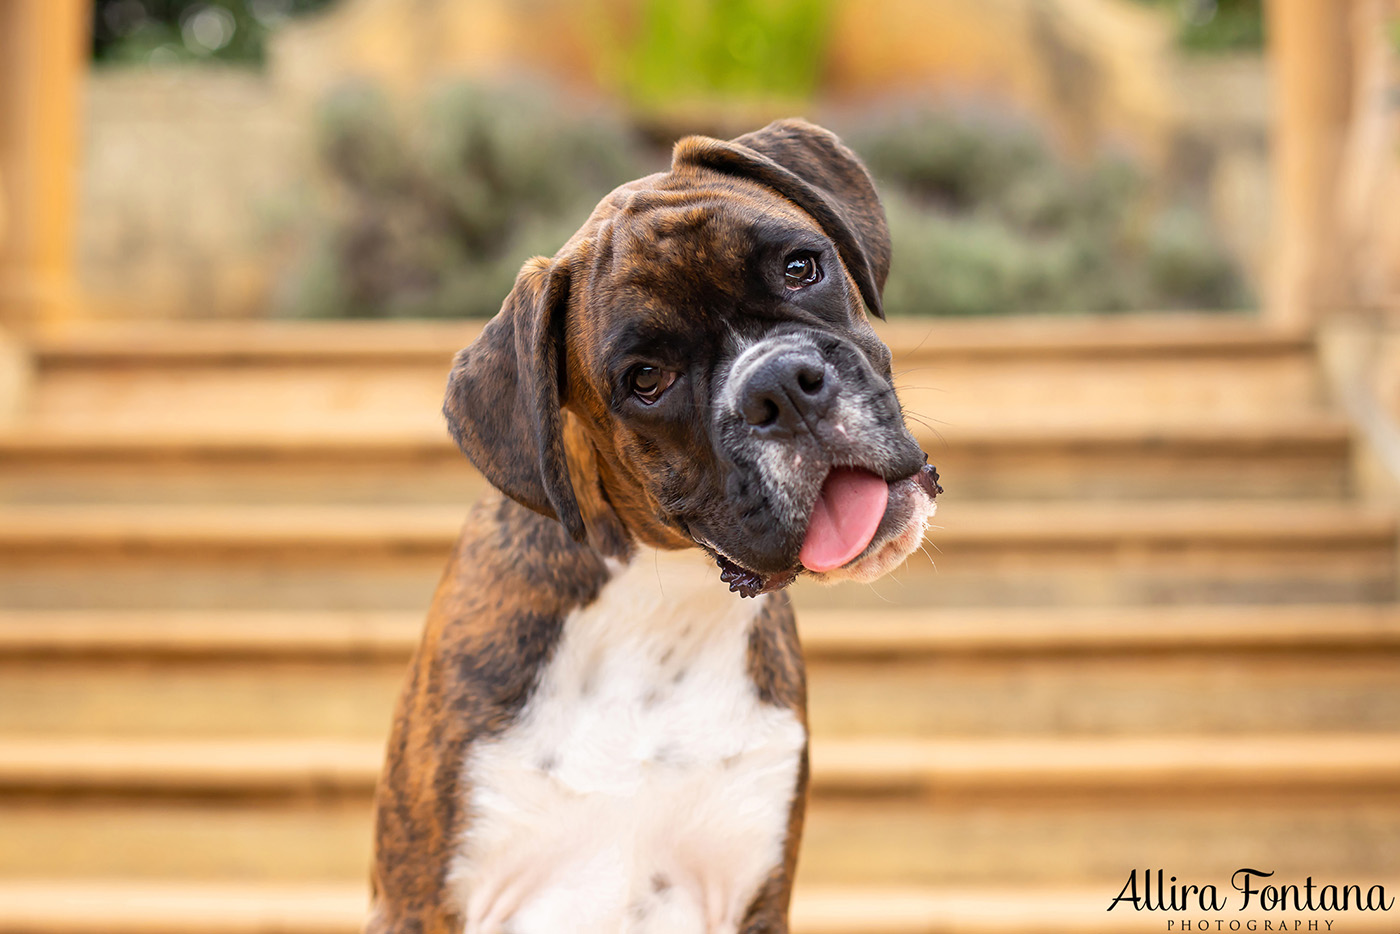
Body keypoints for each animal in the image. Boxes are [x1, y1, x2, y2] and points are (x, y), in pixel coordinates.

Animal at [366, 120, 946, 934]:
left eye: (802, 268)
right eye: (646, 380)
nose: (779, 387)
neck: (662, 605)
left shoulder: (752, 893)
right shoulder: (423, 904)